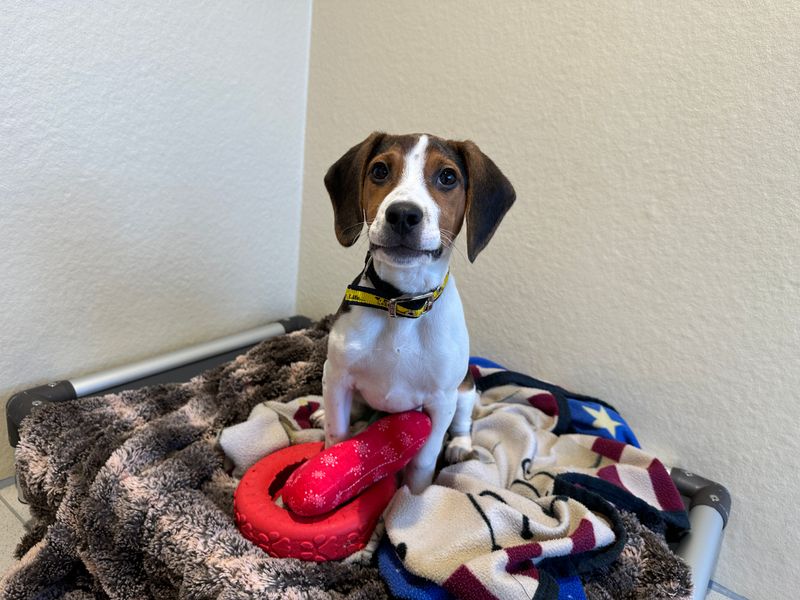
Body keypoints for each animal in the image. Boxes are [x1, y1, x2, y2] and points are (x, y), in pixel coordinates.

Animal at [320, 131, 516, 492]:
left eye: (448, 177)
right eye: (380, 171)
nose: (402, 214)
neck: (401, 303)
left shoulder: (441, 400)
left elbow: (424, 460)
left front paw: (413, 497)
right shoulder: (338, 376)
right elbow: (336, 434)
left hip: (464, 389)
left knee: (464, 420)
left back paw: (459, 445)